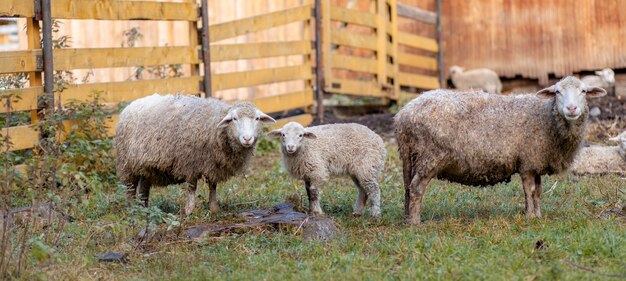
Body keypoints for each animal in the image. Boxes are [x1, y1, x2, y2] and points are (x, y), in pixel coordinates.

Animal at [115, 94, 276, 214]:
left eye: (257, 119)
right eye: (234, 119)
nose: (247, 138)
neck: (214, 126)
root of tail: (130, 105)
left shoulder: (212, 164)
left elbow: (213, 186)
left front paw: (214, 208)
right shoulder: (190, 163)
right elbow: (192, 188)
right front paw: (189, 210)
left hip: (145, 167)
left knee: (143, 189)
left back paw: (145, 210)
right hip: (126, 164)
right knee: (130, 189)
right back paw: (131, 210)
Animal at [394, 75, 604, 223]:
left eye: (584, 91)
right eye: (558, 92)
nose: (571, 109)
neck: (547, 118)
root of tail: (402, 116)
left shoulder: (534, 161)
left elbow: (537, 192)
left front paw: (538, 215)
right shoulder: (527, 163)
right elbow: (529, 191)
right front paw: (530, 217)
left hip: (414, 157)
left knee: (407, 188)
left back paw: (407, 218)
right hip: (430, 156)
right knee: (416, 188)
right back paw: (415, 223)